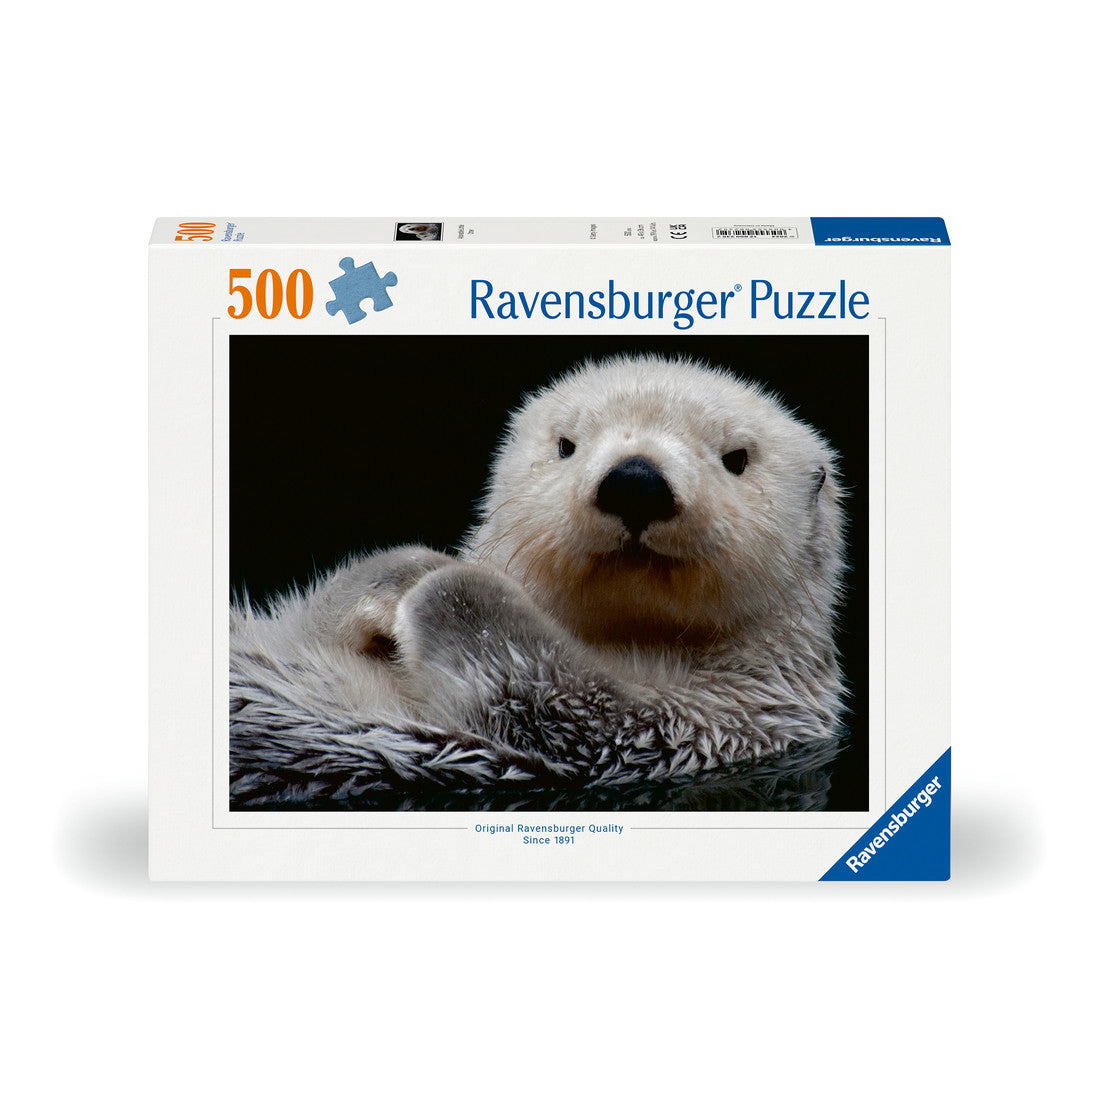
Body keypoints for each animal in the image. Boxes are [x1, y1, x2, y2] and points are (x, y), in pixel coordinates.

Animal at [230, 355, 846, 805]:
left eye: (737, 458)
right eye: (566, 445)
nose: (636, 481)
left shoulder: (710, 722)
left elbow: (556, 696)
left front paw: (444, 584)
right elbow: (316, 616)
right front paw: (403, 573)